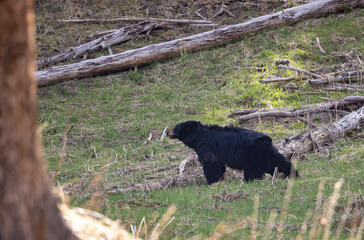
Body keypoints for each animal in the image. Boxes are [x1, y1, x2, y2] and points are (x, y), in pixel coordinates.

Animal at [168, 121, 298, 185]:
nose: (167, 132)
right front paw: (219, 179)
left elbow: (210, 162)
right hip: (267, 153)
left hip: (252, 154)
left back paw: (247, 180)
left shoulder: (207, 146)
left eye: (175, 128)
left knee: (252, 169)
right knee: (279, 161)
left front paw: (211, 182)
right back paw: (293, 174)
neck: (199, 136)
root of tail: (266, 139)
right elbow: (219, 164)